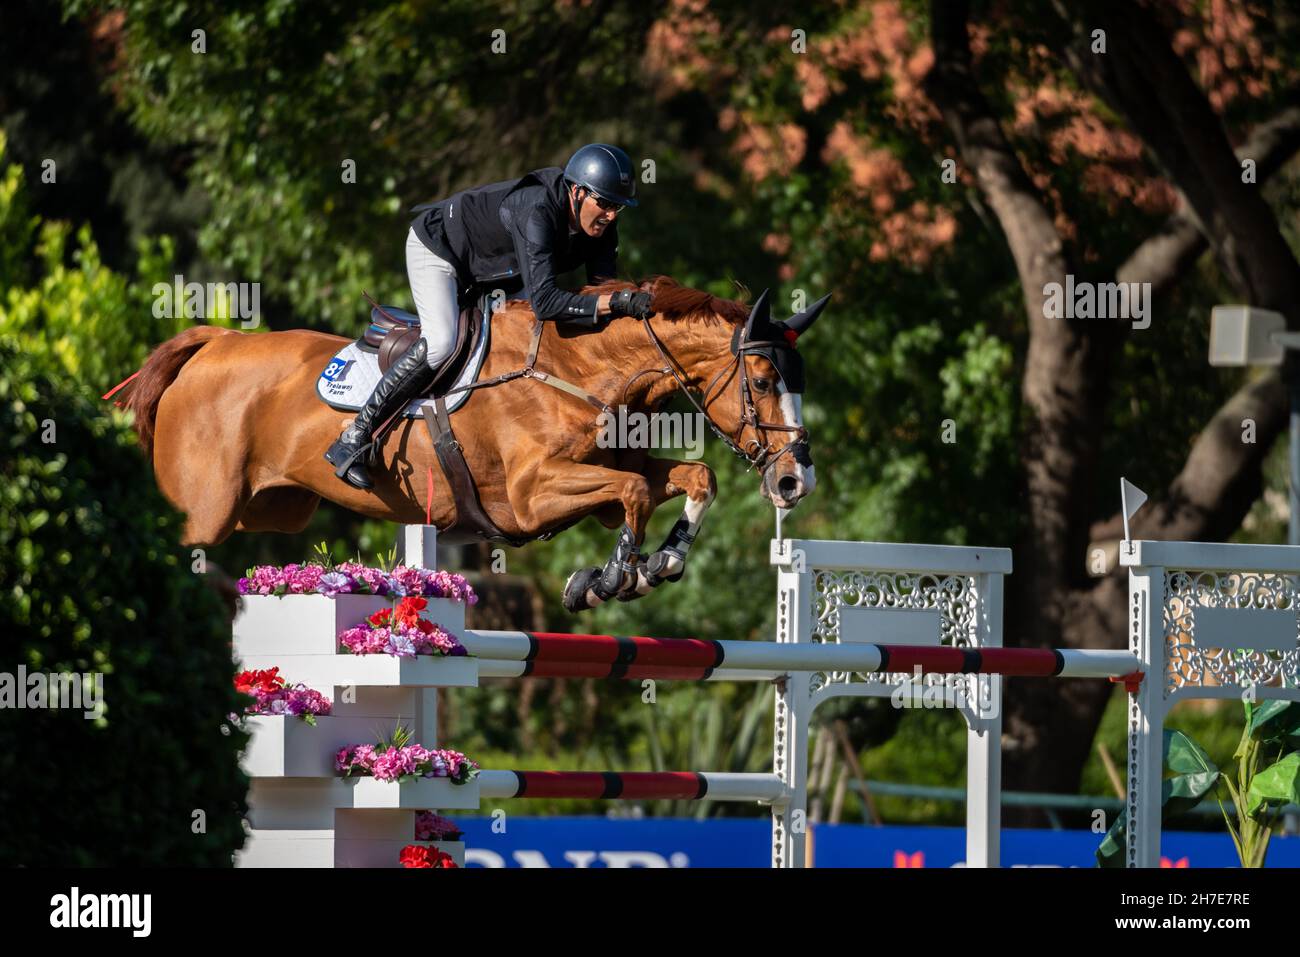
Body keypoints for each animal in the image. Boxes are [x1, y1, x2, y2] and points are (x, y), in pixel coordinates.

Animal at [116, 274, 826, 613]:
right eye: (764, 381)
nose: (796, 482)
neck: (581, 369)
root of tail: (215, 343)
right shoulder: (533, 495)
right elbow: (632, 493)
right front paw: (608, 579)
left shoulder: (595, 485)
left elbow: (690, 478)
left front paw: (662, 564)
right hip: (204, 514)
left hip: (270, 508)